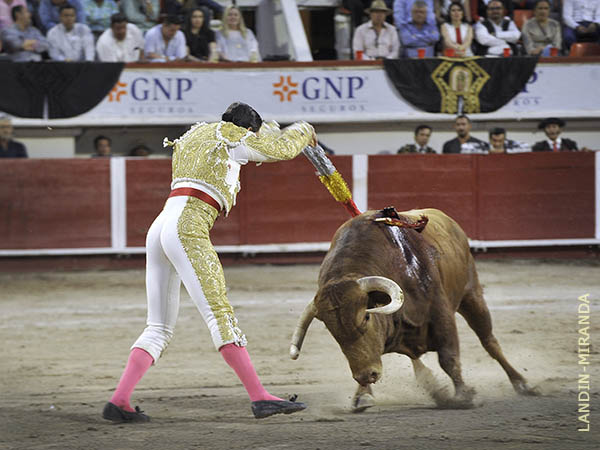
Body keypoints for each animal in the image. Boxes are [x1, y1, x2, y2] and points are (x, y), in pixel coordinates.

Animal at [288, 207, 536, 412]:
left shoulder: (442, 315)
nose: (366, 375)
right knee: (417, 362)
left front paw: (464, 396)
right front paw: (362, 396)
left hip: (472, 294)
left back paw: (523, 385)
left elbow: (449, 358)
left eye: (366, 317)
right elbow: (377, 356)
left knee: (490, 342)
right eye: (332, 331)